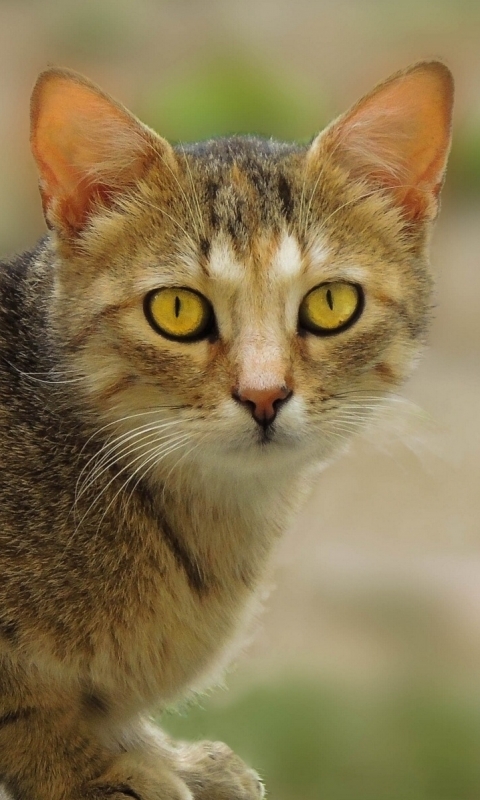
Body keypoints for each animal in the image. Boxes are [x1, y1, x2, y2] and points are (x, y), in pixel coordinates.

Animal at [0, 59, 452, 796]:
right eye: (177, 310)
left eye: (332, 302)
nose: (264, 394)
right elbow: (31, 706)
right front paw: (99, 766)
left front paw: (159, 754)